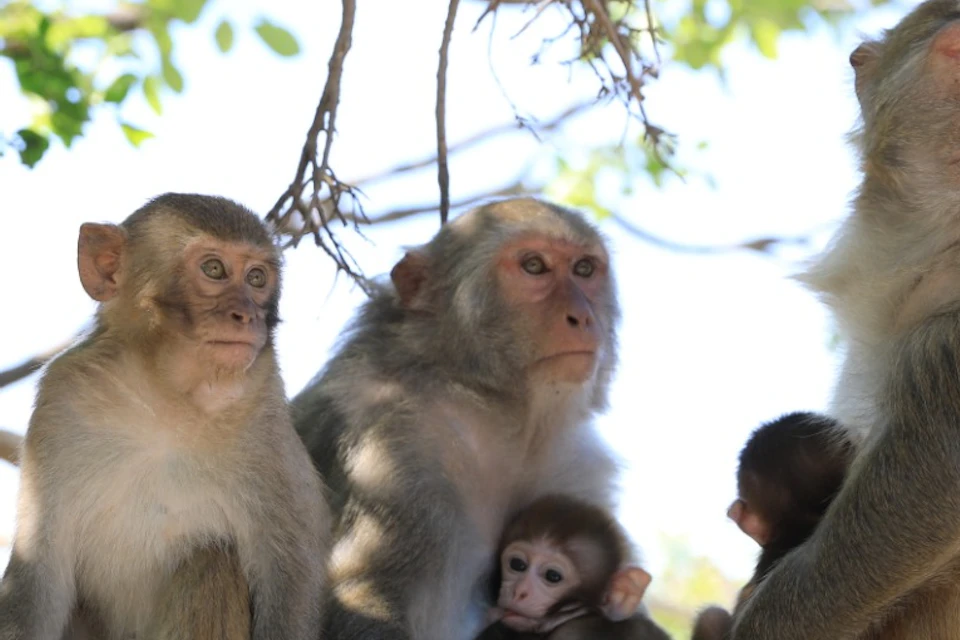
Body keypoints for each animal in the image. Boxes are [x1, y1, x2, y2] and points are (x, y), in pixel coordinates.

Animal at [0, 193, 329, 639]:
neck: (167, 400)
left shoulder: (268, 426)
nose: (247, 315)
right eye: (214, 269)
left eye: (257, 278)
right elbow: (37, 579)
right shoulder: (63, 398)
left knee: (212, 559)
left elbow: (290, 583)